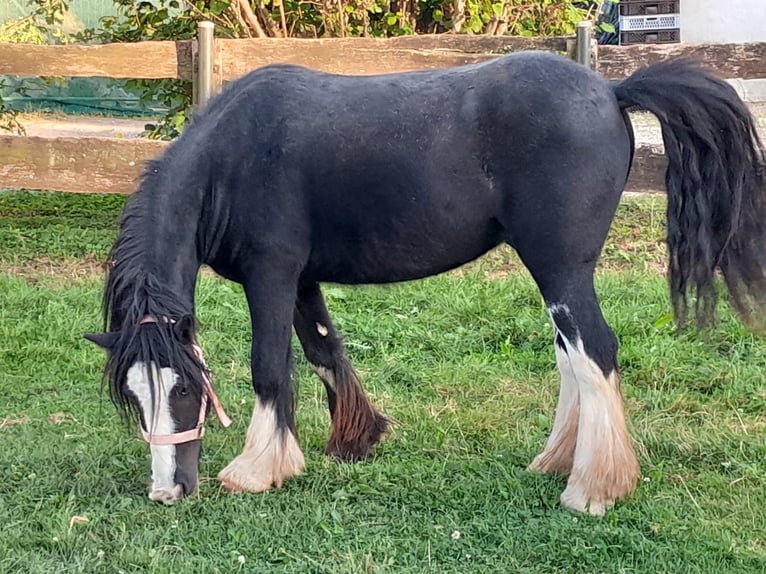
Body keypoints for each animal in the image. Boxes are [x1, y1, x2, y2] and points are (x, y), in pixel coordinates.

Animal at [85, 50, 766, 516]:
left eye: (183, 388)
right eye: (135, 396)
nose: (168, 490)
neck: (232, 158)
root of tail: (610, 89)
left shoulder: (271, 276)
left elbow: (271, 366)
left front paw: (257, 469)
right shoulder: (302, 280)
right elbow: (324, 350)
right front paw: (355, 439)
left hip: (561, 268)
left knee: (594, 351)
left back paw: (592, 488)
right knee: (570, 357)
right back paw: (556, 462)